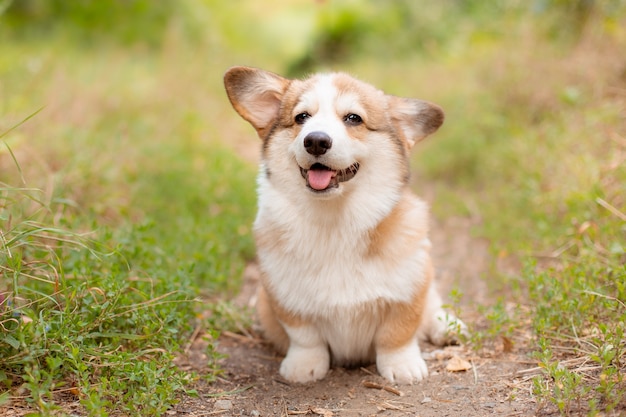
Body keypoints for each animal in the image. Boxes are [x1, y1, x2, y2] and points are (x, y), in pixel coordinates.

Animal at [222, 66, 460, 384]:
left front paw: (402, 366)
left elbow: (398, 333)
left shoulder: (410, 287)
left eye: (353, 118)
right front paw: (304, 366)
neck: (334, 220)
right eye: (302, 117)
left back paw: (448, 327)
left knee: (434, 304)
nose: (315, 141)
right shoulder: (283, 296)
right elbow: (305, 337)